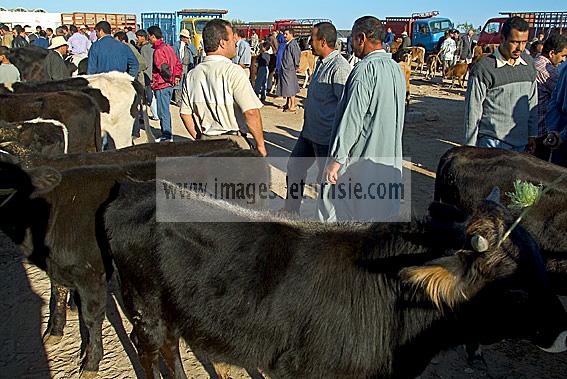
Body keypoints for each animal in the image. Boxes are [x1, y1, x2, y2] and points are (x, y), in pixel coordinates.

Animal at [105, 182, 567, 379]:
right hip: (145, 311)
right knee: (150, 352)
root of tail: (131, 193)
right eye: (516, 288)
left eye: (544, 267)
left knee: (171, 350)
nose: (563, 331)